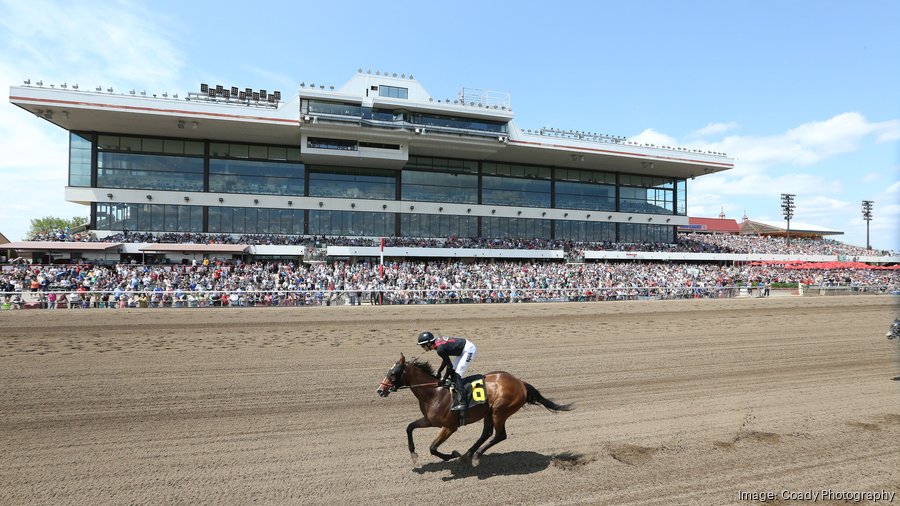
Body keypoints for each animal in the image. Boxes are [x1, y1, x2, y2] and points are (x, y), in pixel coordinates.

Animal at [376, 352, 572, 466]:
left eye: (393, 373)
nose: (380, 390)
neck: (434, 392)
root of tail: (520, 383)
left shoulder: (449, 427)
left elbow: (432, 447)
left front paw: (451, 455)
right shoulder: (430, 420)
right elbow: (409, 427)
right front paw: (414, 455)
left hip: (499, 411)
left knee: (499, 435)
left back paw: (475, 456)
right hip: (488, 413)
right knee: (486, 433)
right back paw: (467, 455)